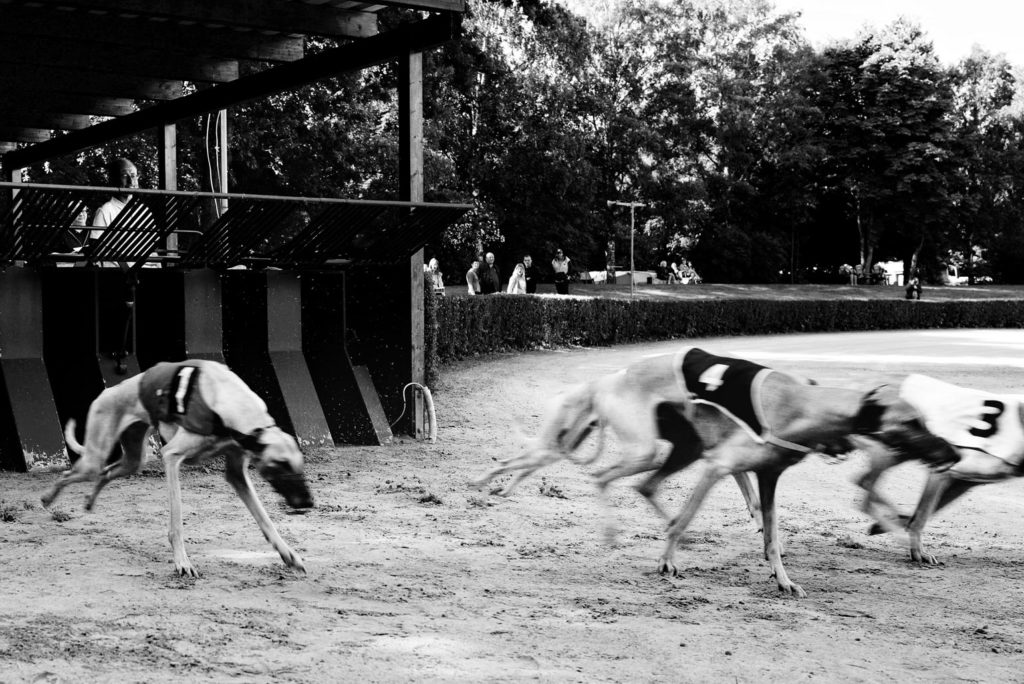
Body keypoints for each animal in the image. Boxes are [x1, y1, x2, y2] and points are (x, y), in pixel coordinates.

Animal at [40, 358, 311, 577]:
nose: (309, 502)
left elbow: (265, 519)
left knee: (106, 473)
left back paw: (89, 500)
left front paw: (288, 554)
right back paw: (47, 498)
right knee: (69, 473)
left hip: (134, 460)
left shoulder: (237, 472)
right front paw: (182, 562)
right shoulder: (171, 456)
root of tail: (109, 390)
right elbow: (177, 522)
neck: (227, 400)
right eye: (281, 464)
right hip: (95, 457)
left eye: (300, 465)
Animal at [856, 376, 1024, 565]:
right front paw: (918, 552)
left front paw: (890, 525)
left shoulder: (964, 483)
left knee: (863, 483)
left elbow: (927, 512)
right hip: (896, 449)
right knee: (866, 488)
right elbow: (922, 516)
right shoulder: (944, 473)